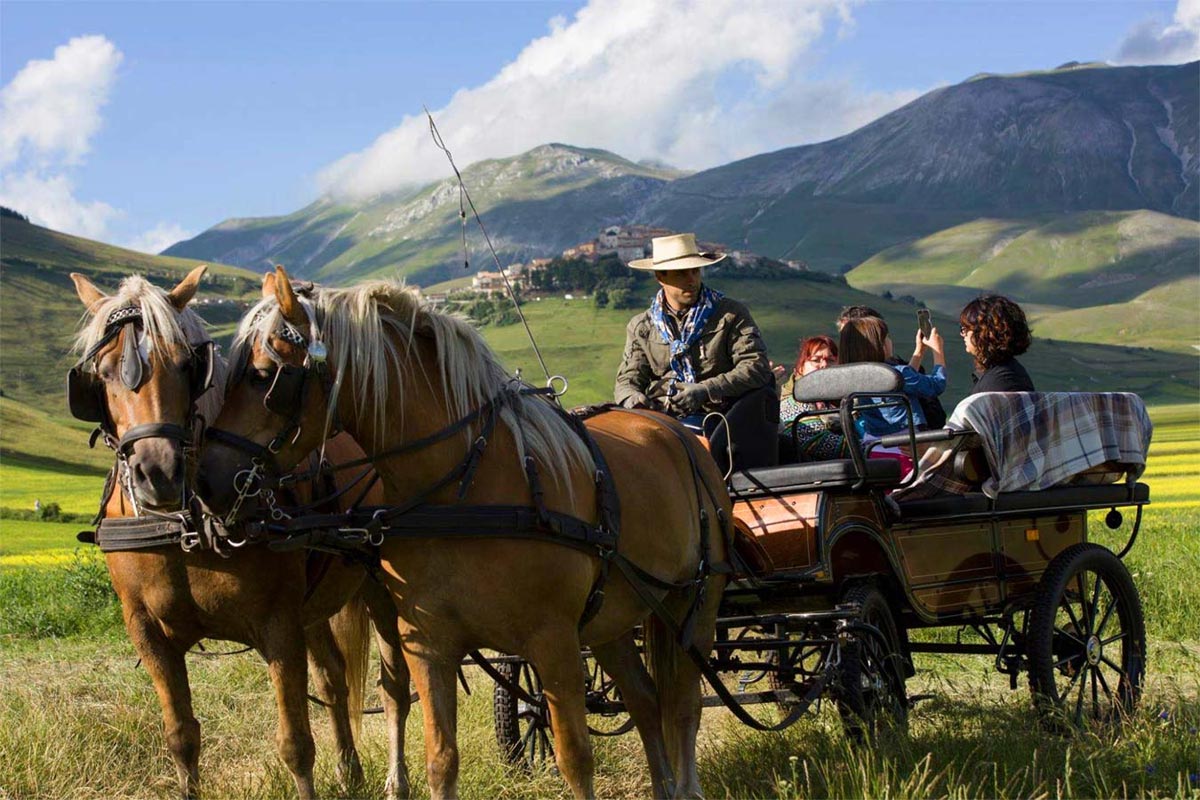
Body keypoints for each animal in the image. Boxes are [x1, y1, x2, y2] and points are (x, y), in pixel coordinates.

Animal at [68, 271, 412, 800]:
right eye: (103, 373)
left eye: (187, 365)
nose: (158, 473)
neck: (187, 529)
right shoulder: (148, 632)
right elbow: (181, 737)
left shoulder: (278, 625)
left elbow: (296, 744)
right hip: (313, 608)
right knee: (333, 680)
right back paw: (350, 772)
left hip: (379, 588)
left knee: (394, 686)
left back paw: (398, 779)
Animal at [196, 268, 729, 800]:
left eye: (262, 375)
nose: (205, 480)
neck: (461, 490)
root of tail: (675, 429)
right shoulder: (428, 642)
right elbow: (441, 759)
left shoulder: (553, 640)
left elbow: (575, 758)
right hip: (611, 618)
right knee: (645, 699)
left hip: (695, 604)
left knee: (683, 705)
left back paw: (687, 785)